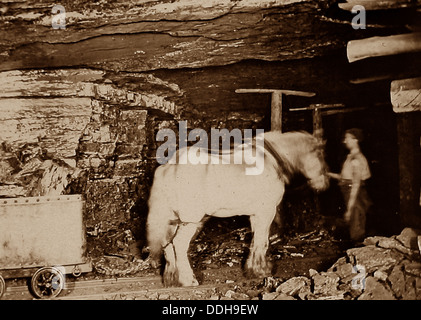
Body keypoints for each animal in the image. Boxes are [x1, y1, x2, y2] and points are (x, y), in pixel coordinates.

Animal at [147, 131, 328, 286]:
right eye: (320, 154)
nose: (324, 183)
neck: (270, 159)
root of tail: (170, 167)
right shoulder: (266, 211)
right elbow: (262, 241)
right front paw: (261, 271)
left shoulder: (255, 214)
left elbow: (255, 240)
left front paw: (252, 269)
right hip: (190, 220)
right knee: (178, 244)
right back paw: (188, 280)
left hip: (172, 219)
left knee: (167, 245)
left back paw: (171, 278)